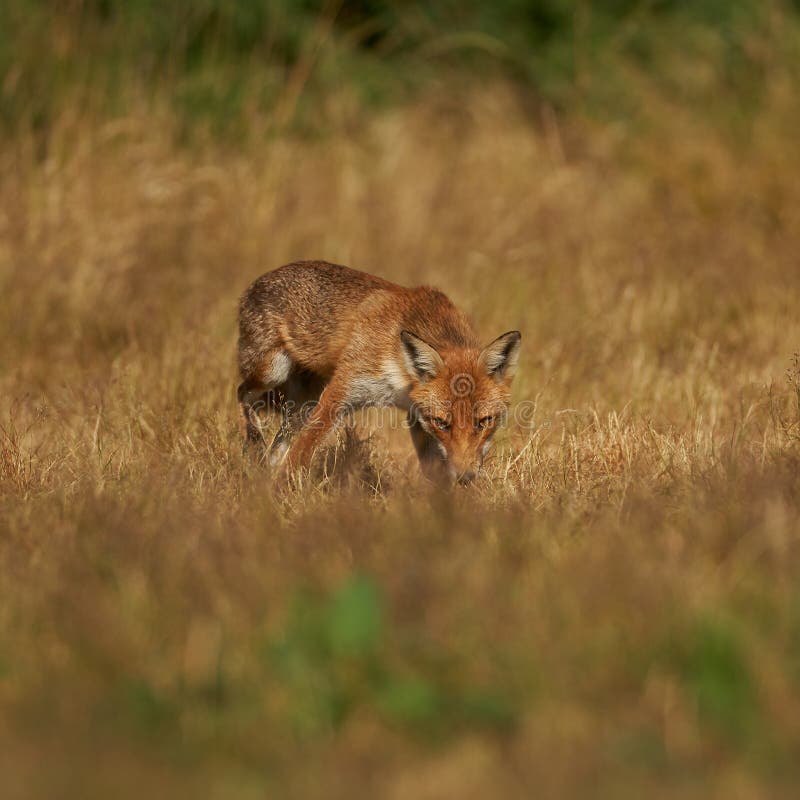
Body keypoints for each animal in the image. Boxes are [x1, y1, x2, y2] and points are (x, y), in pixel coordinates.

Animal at [238, 260, 520, 482]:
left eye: (484, 421)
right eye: (442, 422)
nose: (465, 477)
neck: (401, 375)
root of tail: (258, 281)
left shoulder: (416, 415)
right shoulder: (340, 393)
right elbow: (299, 456)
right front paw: (278, 498)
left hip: (303, 404)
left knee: (277, 445)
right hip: (273, 371)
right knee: (243, 394)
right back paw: (255, 442)